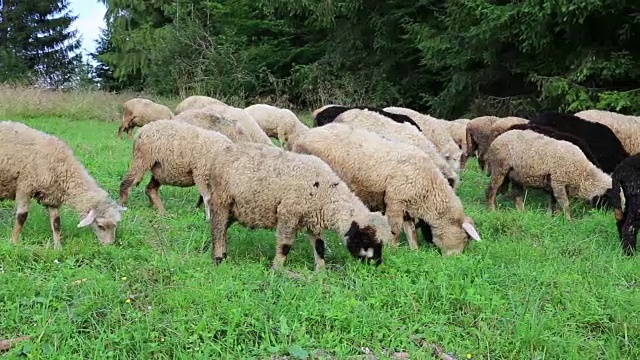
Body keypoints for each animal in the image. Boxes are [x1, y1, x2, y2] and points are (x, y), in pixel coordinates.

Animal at [0, 119, 126, 249]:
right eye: (101, 226)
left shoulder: (51, 196)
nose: (109, 245)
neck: (62, 166)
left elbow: (56, 222)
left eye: (115, 225)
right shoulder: (25, 187)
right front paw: (14, 241)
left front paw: (58, 247)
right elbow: (22, 217)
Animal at [290, 122, 480, 255]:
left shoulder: (407, 205)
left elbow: (411, 231)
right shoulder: (395, 201)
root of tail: (302, 137)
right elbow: (395, 229)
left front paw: (415, 250)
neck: (428, 189)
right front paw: (394, 249)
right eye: (465, 238)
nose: (455, 258)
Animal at [484, 129, 616, 219]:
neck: (582, 174)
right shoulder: (558, 182)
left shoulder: (554, 184)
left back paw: (522, 213)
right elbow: (565, 204)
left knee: (516, 196)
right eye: (610, 199)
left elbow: (553, 202)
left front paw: (552, 217)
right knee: (491, 189)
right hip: (499, 168)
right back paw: (491, 210)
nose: (608, 217)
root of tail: (497, 139)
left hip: (516, 175)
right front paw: (569, 220)